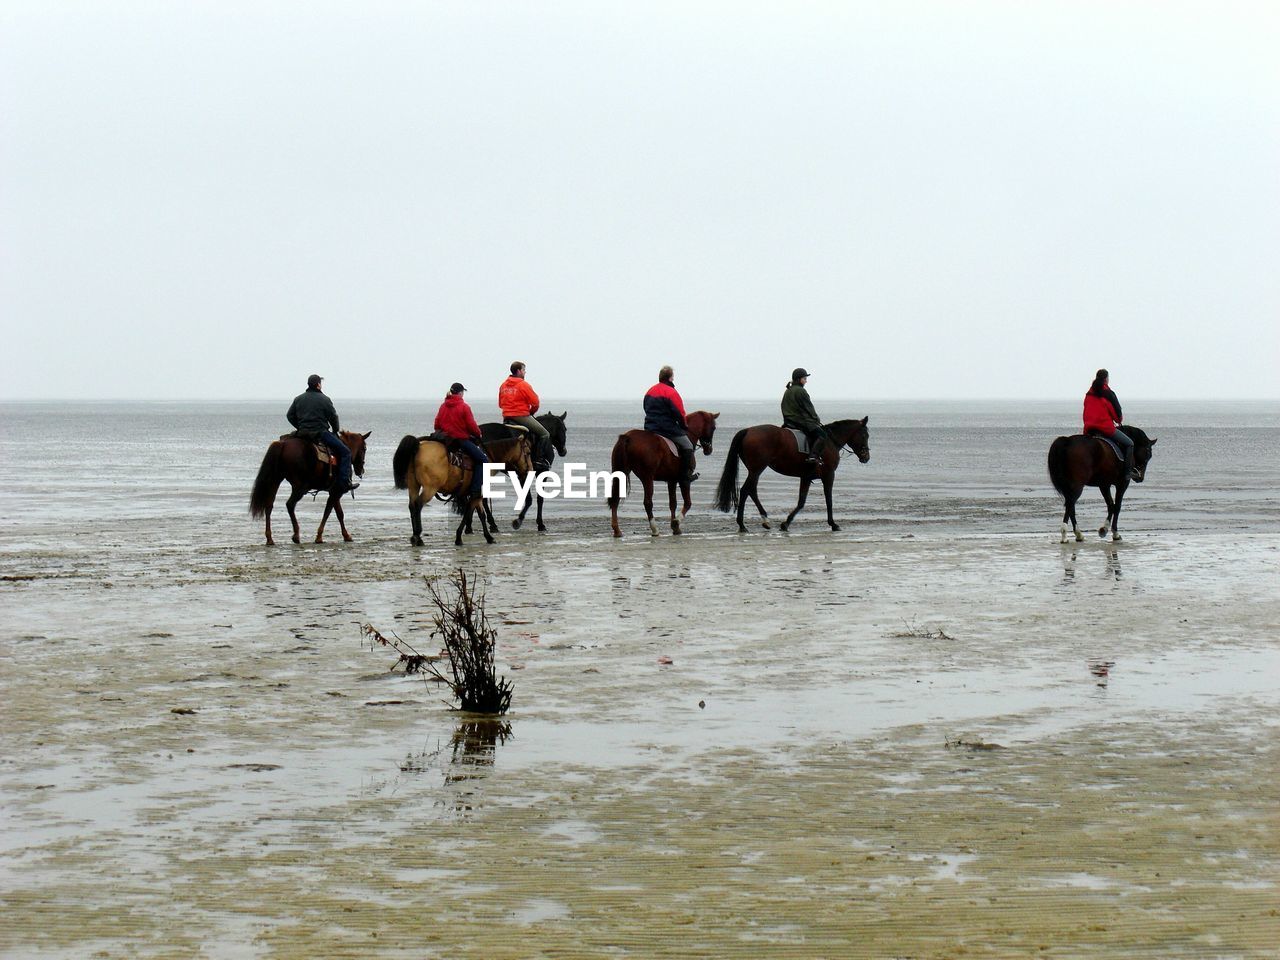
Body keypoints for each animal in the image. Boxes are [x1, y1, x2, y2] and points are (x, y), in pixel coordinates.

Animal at [389, 432, 529, 545]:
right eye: (527, 452)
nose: (528, 470)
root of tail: (418, 446)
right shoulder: (478, 493)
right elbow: (468, 513)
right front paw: (459, 538)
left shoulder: (476, 494)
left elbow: (481, 514)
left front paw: (489, 537)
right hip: (430, 488)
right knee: (418, 505)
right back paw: (418, 537)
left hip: (413, 486)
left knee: (412, 505)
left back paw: (414, 536)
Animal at [604, 409, 716, 537]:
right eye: (713, 428)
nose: (709, 450)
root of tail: (628, 437)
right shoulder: (684, 480)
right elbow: (688, 503)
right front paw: (676, 523)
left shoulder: (672, 480)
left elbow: (673, 503)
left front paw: (675, 528)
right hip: (647, 478)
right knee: (648, 502)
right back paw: (654, 529)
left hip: (621, 473)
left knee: (615, 499)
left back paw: (617, 530)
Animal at [711, 419, 870, 535]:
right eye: (865, 435)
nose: (866, 457)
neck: (830, 441)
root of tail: (748, 430)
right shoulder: (829, 475)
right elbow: (828, 500)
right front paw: (833, 524)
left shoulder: (806, 477)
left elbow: (801, 502)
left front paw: (785, 523)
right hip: (757, 469)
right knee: (745, 491)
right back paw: (743, 525)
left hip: (755, 470)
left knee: (751, 490)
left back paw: (764, 519)